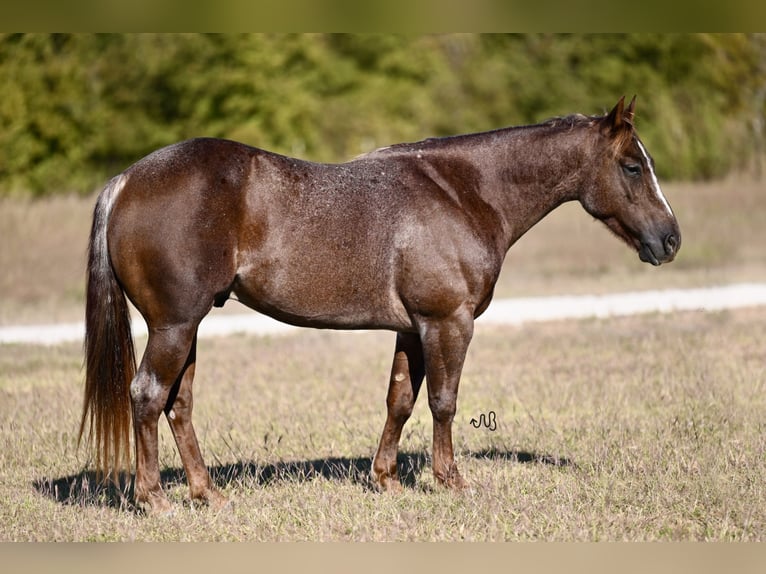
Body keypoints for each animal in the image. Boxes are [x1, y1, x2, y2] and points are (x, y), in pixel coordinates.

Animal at [79, 97, 684, 516]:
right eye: (633, 166)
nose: (671, 240)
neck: (463, 192)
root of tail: (127, 180)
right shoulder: (447, 323)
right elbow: (443, 401)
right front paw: (450, 480)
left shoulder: (413, 329)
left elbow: (400, 400)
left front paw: (387, 478)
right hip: (174, 326)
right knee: (147, 396)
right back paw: (155, 498)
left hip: (188, 327)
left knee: (178, 404)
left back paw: (206, 493)